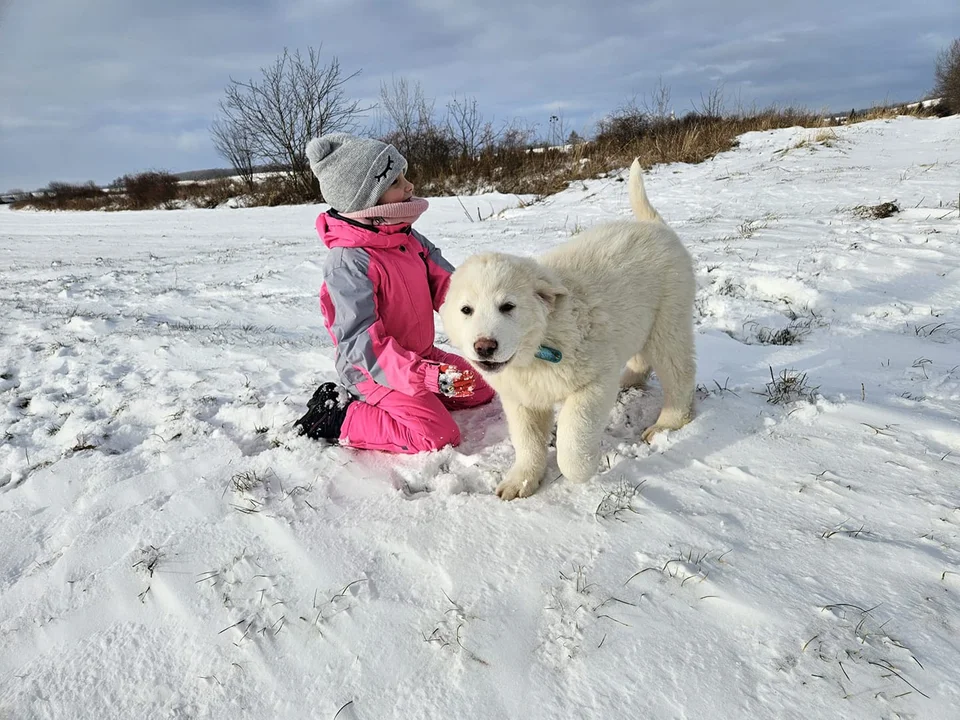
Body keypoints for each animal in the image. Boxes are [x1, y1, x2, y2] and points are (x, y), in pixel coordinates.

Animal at [438, 158, 692, 498]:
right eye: (466, 310)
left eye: (508, 307)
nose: (485, 346)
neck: (537, 347)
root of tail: (656, 227)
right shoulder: (521, 398)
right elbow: (527, 441)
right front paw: (520, 480)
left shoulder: (593, 382)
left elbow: (575, 431)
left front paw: (581, 468)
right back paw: (629, 380)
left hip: (669, 317)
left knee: (678, 371)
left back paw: (667, 423)